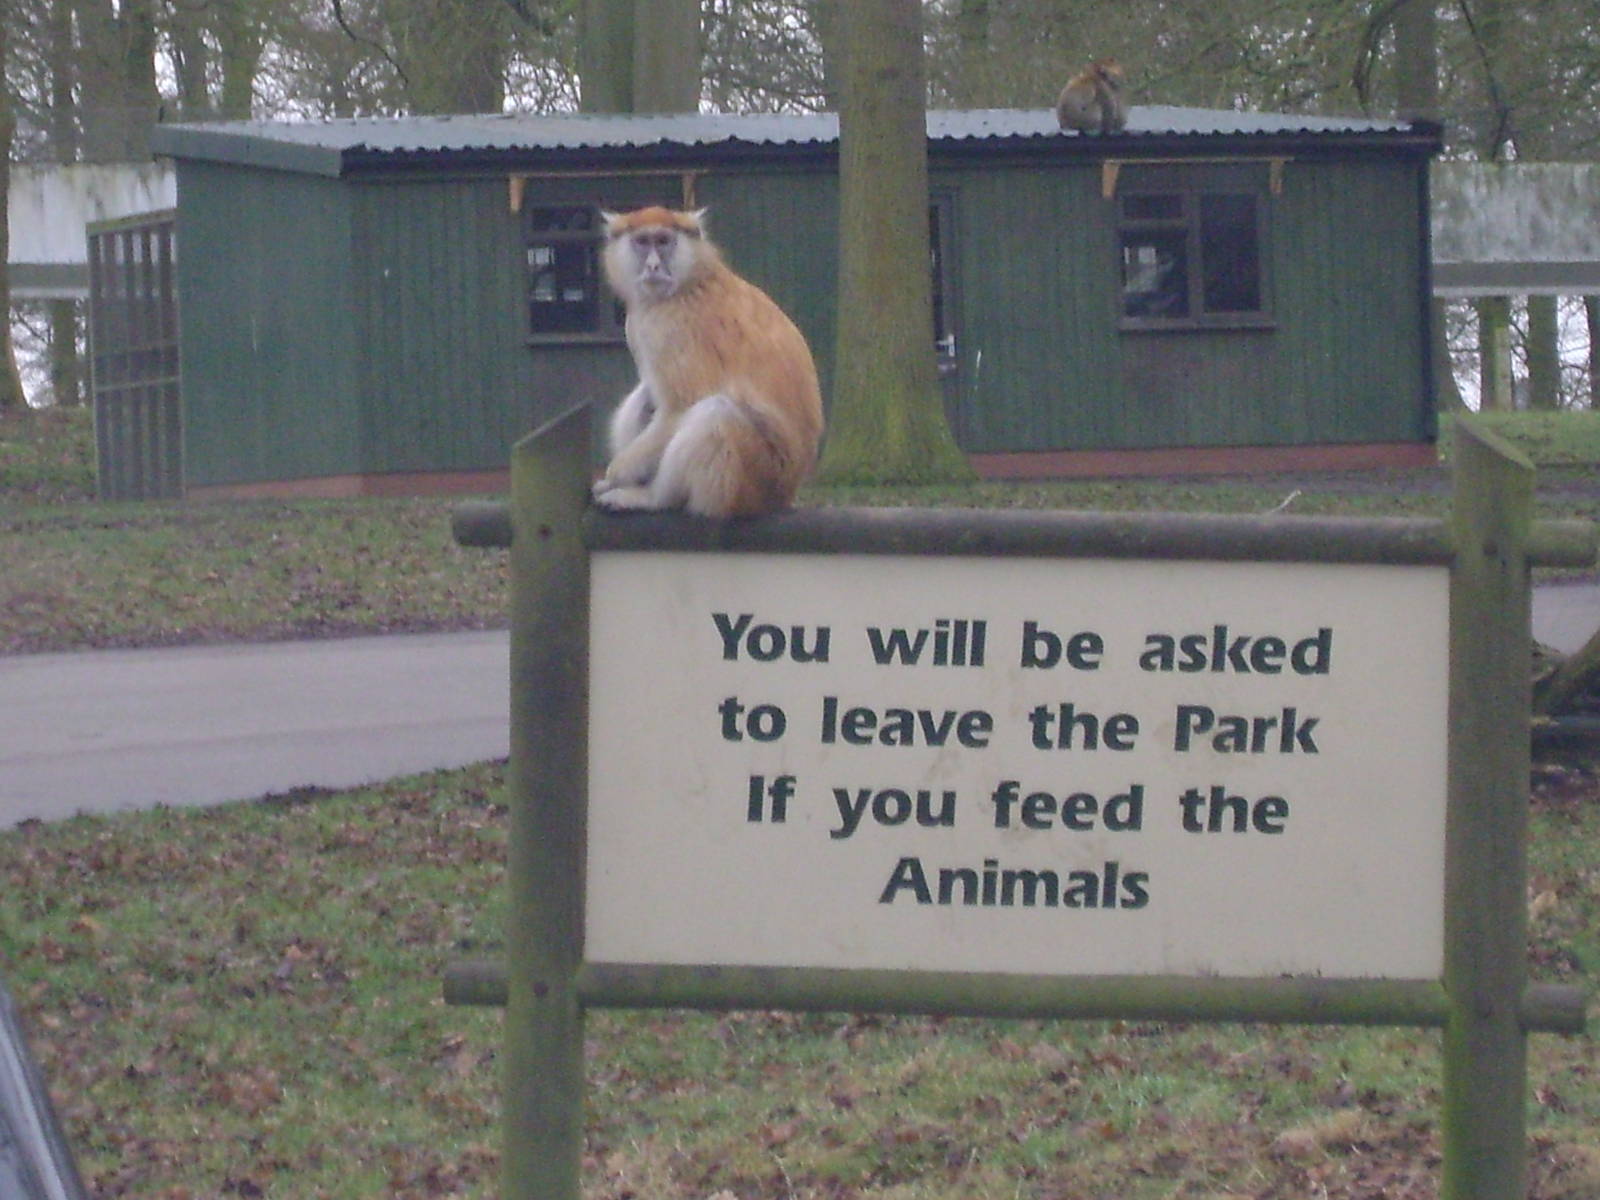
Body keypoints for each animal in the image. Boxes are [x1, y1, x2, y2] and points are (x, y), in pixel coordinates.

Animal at [591, 206, 824, 519]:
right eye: (642, 241)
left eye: (663, 241)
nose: (653, 266)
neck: (693, 278)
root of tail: (785, 495)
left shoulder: (672, 327)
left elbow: (679, 409)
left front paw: (616, 475)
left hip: (754, 480)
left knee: (716, 413)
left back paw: (653, 498)